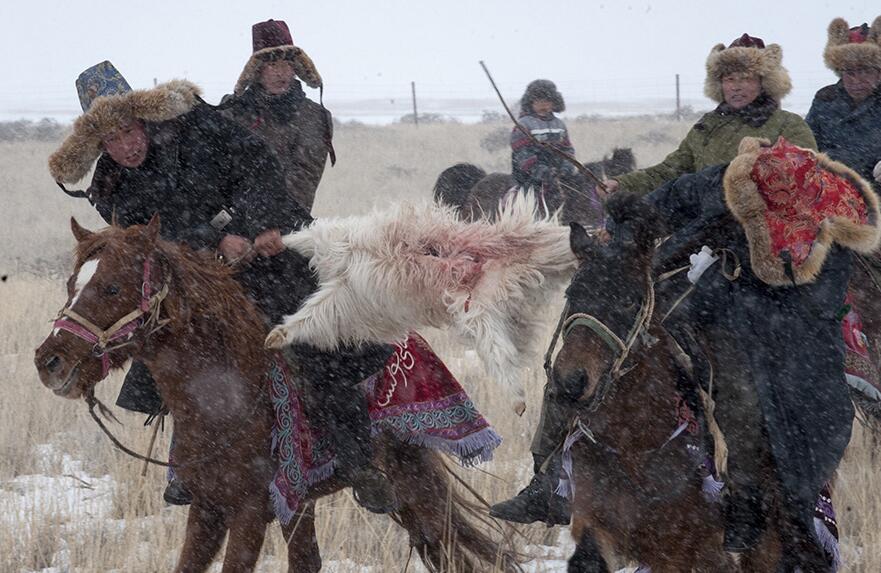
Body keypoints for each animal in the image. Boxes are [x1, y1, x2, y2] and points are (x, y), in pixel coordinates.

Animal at [32, 216, 516, 572]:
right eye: (72, 284)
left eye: (112, 286)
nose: (49, 361)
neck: (223, 400)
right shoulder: (207, 507)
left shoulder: (250, 512)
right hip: (306, 503)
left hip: (409, 473)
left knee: (443, 543)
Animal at [552, 194, 780, 568]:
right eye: (572, 294)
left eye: (629, 299)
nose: (570, 382)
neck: (634, 446)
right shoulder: (598, 526)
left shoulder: (697, 551)